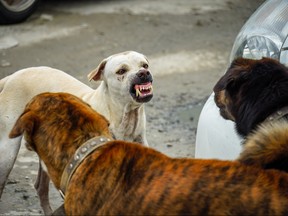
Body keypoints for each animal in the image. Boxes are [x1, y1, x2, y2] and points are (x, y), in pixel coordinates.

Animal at [0, 50, 153, 214]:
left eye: (144, 65)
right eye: (121, 71)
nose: (143, 73)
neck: (125, 119)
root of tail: (11, 77)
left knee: (41, 187)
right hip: (7, 153)